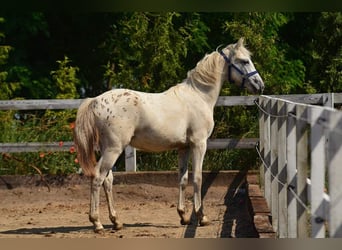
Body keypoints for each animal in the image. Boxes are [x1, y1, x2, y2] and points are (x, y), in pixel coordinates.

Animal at [72, 37, 264, 232]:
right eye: (244, 61)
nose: (259, 85)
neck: (199, 96)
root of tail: (95, 101)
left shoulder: (183, 147)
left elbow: (183, 178)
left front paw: (183, 216)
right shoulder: (199, 144)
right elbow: (198, 178)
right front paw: (201, 216)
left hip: (107, 149)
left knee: (108, 180)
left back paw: (116, 221)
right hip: (113, 149)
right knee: (98, 177)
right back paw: (97, 222)